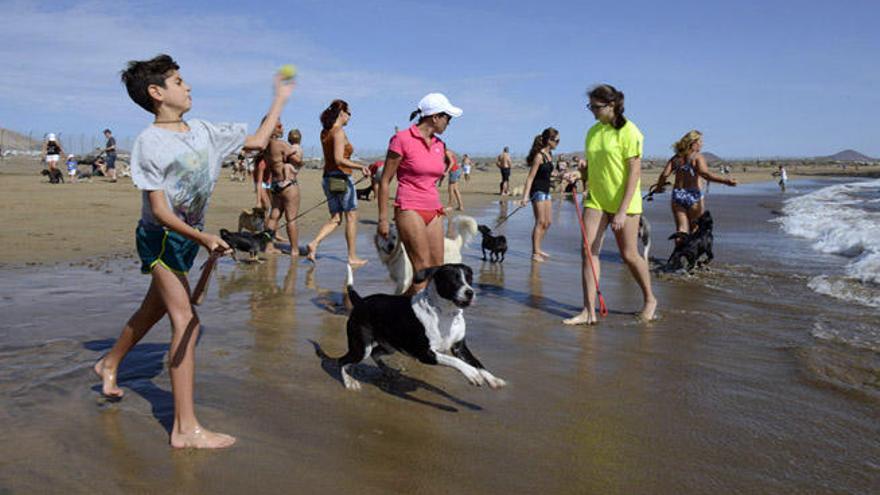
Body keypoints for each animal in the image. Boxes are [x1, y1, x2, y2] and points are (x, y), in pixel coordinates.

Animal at [332, 264, 508, 392]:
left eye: (469, 279)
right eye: (454, 280)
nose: (470, 292)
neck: (445, 313)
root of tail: (361, 301)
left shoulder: (460, 348)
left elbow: (477, 362)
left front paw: (492, 379)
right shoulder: (425, 353)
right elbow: (455, 361)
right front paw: (472, 374)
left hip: (390, 346)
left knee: (376, 353)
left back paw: (387, 371)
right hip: (362, 347)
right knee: (342, 361)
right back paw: (349, 382)